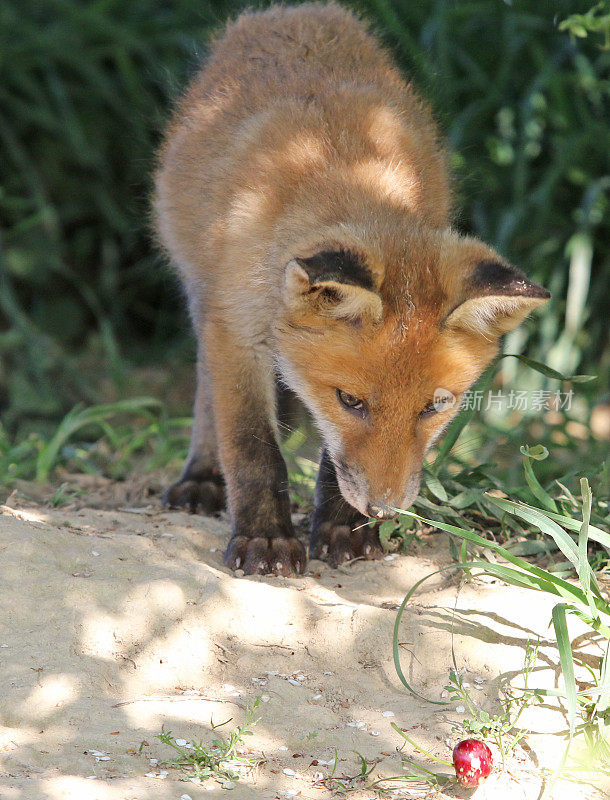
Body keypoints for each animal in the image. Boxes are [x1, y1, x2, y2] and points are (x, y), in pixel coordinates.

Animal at [154, 0, 548, 576]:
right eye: (350, 400)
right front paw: (265, 539)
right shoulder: (238, 329)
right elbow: (253, 449)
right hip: (202, 294)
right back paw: (201, 477)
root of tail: (292, 11)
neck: (337, 167)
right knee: (207, 392)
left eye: (435, 406)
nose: (382, 509)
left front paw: (344, 530)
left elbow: (328, 461)